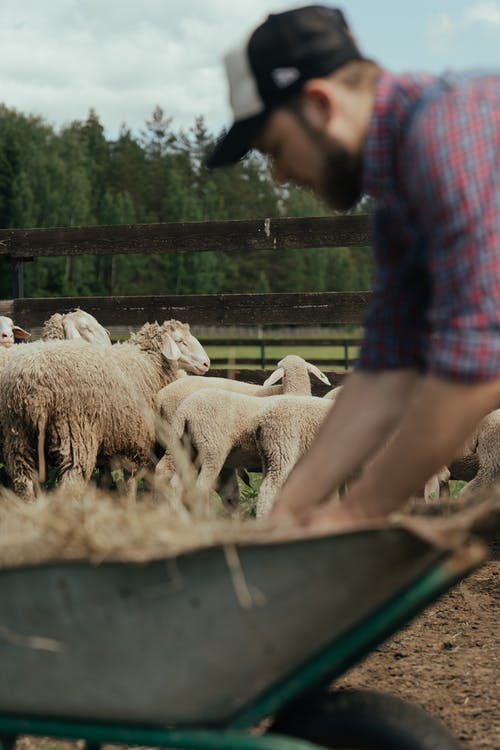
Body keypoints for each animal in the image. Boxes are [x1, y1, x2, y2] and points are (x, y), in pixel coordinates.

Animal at [0, 320, 209, 502]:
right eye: (180, 341)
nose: (207, 363)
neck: (148, 363)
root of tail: (33, 385)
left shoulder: (111, 442)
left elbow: (106, 479)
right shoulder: (136, 441)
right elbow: (130, 480)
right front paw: (130, 503)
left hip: (19, 436)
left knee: (24, 481)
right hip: (75, 433)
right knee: (71, 482)